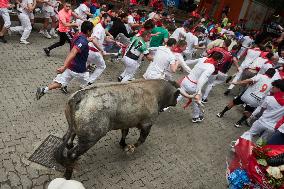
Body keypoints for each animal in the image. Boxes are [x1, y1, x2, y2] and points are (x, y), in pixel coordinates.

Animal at [55, 78, 186, 179]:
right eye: (177, 95)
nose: (176, 102)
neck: (156, 92)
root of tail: (79, 96)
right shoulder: (147, 124)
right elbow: (141, 140)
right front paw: (130, 148)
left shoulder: (126, 122)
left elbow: (125, 132)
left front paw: (123, 144)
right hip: (90, 139)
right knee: (72, 154)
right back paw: (68, 174)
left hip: (73, 128)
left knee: (68, 139)